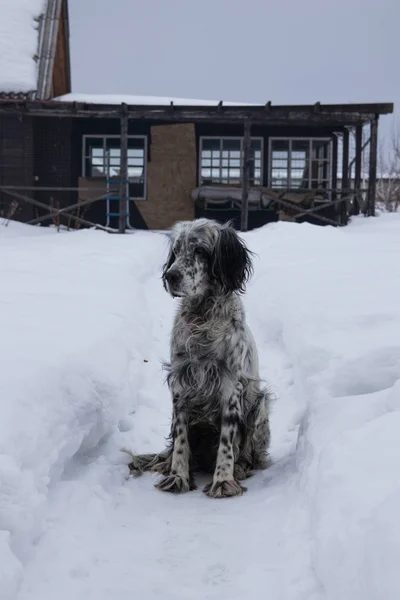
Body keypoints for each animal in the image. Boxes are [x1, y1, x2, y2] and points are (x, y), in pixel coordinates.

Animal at [127, 218, 272, 500]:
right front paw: (178, 477)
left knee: (249, 451)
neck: (202, 316)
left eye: (200, 250)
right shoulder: (181, 381)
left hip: (260, 404)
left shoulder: (231, 385)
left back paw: (240, 468)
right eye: (177, 250)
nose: (171, 276)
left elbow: (227, 443)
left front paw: (223, 481)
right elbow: (180, 440)